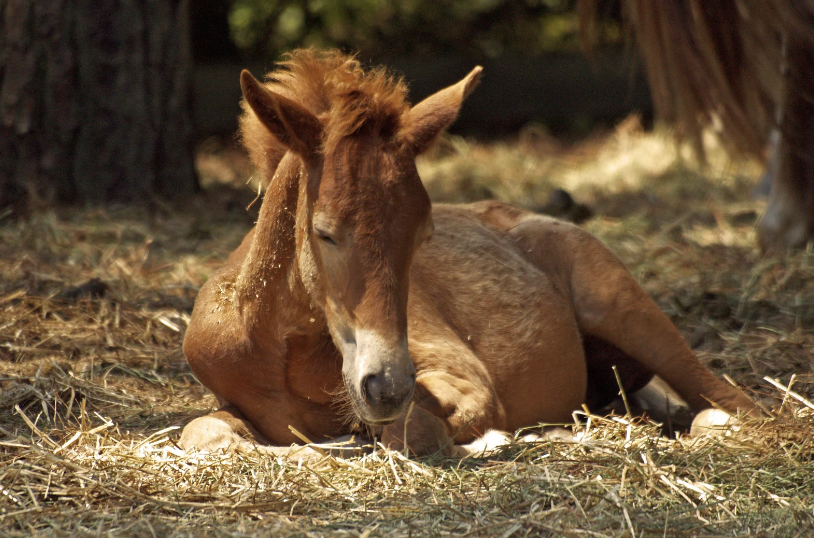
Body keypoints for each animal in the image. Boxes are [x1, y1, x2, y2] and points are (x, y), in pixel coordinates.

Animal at [180, 49, 760, 452]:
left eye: (424, 233)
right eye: (323, 231)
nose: (386, 387)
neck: (280, 350)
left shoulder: (465, 379)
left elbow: (413, 431)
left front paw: (494, 438)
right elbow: (204, 434)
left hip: (624, 308)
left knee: (733, 403)